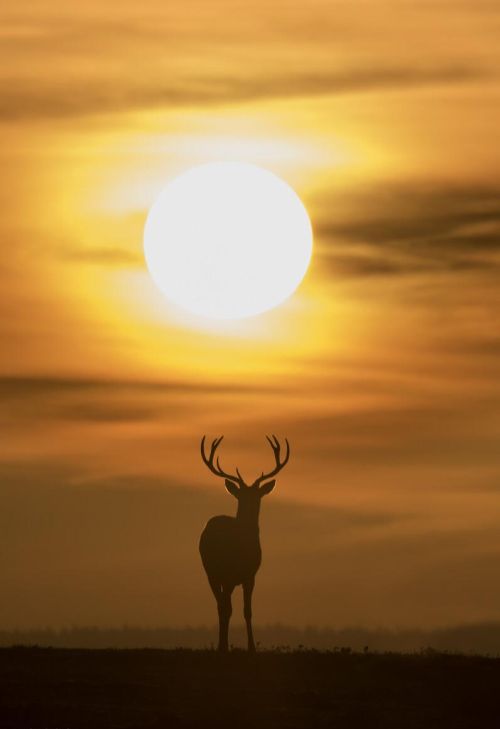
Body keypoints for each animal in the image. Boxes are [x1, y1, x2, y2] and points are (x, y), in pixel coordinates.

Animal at [198, 436, 290, 652]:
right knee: (223, 606)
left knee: (222, 605)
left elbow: (246, 610)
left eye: (257, 495)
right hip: (215, 572)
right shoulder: (235, 575)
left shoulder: (250, 575)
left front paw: (248, 646)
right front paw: (237, 646)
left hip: (218, 575)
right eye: (241, 496)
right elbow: (236, 610)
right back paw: (222, 645)